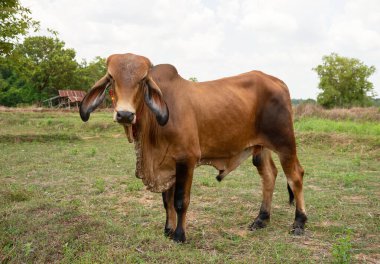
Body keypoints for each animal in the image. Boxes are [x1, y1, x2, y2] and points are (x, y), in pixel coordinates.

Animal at [79, 53, 306, 241]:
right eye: (111, 77)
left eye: (143, 79)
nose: (125, 114)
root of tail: (277, 81)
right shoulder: (167, 163)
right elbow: (166, 201)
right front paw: (167, 230)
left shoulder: (186, 159)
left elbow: (180, 201)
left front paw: (179, 235)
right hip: (261, 146)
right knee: (269, 175)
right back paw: (261, 219)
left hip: (285, 143)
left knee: (295, 176)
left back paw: (299, 222)